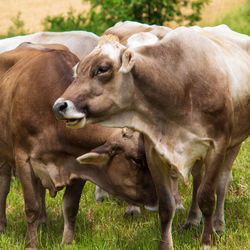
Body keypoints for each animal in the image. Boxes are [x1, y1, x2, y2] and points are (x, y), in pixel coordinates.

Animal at [0, 44, 157, 247]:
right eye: (137, 160)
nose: (158, 199)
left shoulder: (78, 165)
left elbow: (70, 207)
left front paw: (67, 243)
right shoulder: (23, 159)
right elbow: (31, 206)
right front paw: (31, 245)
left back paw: (43, 221)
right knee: (3, 186)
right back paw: (2, 225)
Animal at [53, 22, 250, 249]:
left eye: (102, 69)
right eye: (77, 71)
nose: (59, 106)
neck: (178, 87)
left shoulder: (217, 146)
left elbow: (207, 197)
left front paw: (207, 241)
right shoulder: (155, 152)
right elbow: (166, 205)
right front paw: (166, 244)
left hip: (233, 145)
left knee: (222, 183)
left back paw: (218, 224)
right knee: (197, 179)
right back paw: (192, 219)